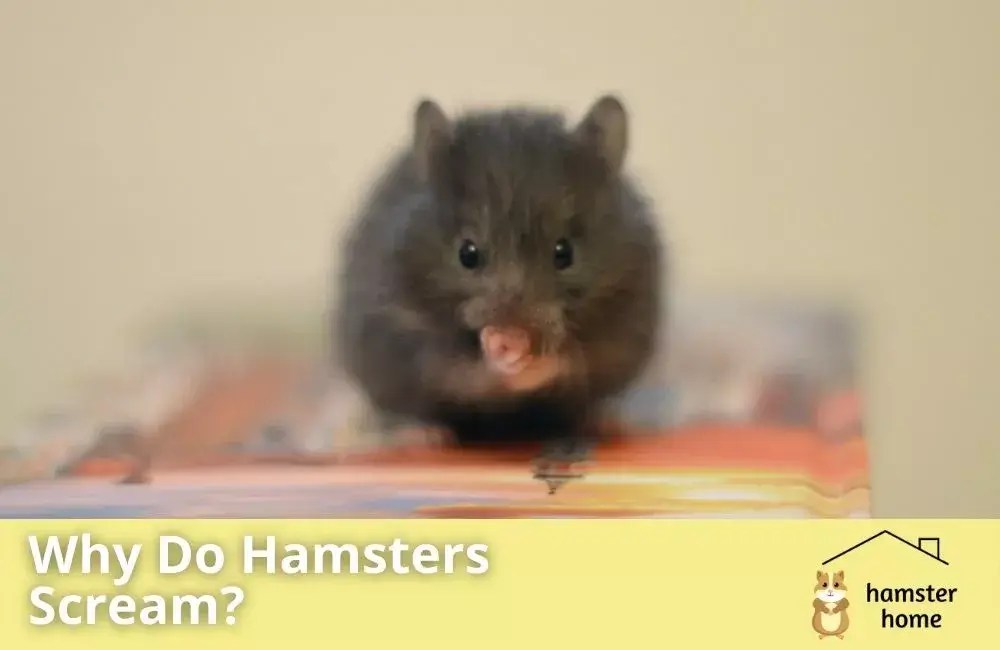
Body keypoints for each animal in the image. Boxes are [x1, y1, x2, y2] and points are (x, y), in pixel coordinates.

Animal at [332, 94, 664, 480]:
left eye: (564, 252)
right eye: (467, 253)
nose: (511, 331)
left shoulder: (619, 331)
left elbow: (566, 361)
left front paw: (528, 360)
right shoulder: (410, 336)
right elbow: (465, 369)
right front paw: (499, 349)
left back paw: (608, 421)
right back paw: (420, 436)